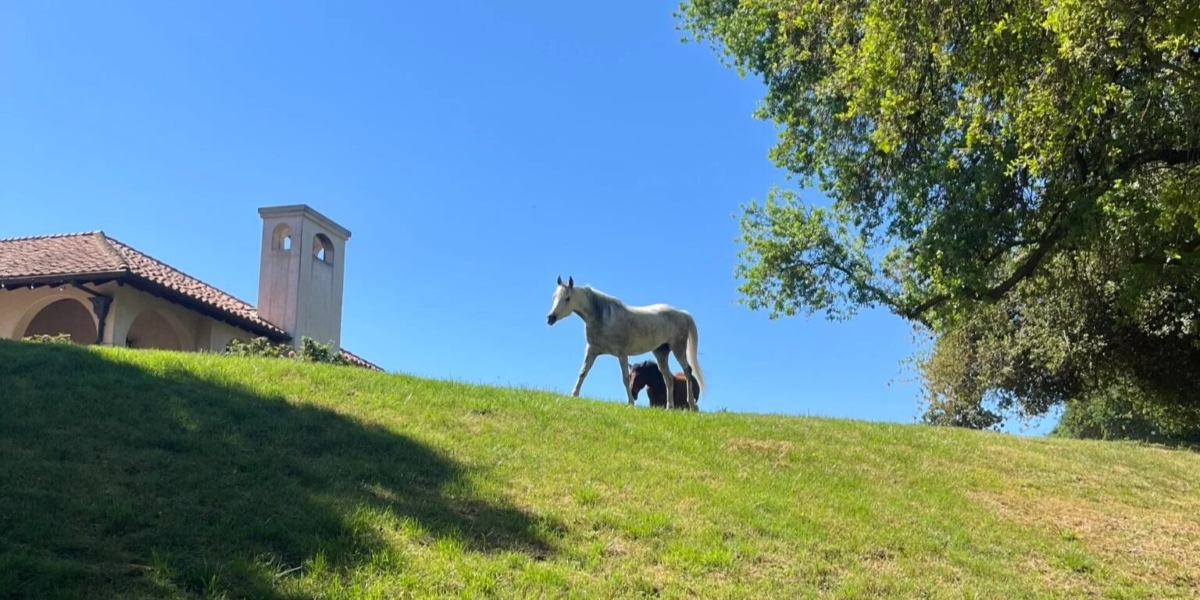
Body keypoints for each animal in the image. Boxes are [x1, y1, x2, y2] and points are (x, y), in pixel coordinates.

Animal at [545, 276, 704, 410]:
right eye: (554, 297)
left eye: (567, 298)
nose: (550, 318)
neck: (604, 318)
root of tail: (682, 313)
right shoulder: (592, 351)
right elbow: (583, 372)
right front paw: (574, 394)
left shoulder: (622, 354)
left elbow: (625, 379)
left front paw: (630, 403)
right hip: (661, 352)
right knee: (669, 378)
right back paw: (669, 408)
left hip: (678, 348)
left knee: (687, 371)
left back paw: (692, 405)